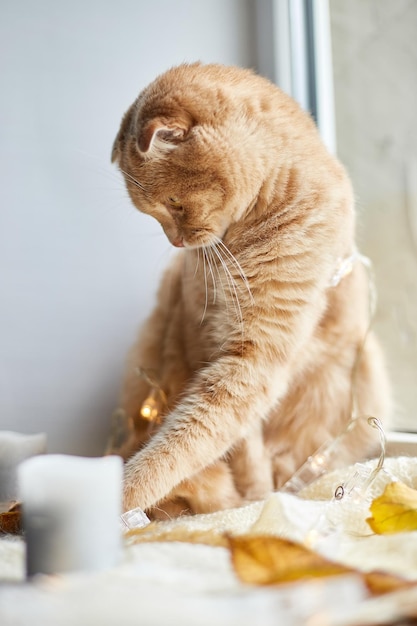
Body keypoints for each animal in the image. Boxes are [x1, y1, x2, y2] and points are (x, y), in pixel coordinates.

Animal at [111, 62, 390, 516]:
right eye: (154, 214)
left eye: (174, 203)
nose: (176, 243)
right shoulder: (212, 343)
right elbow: (220, 441)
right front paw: (244, 501)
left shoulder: (257, 355)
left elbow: (188, 442)